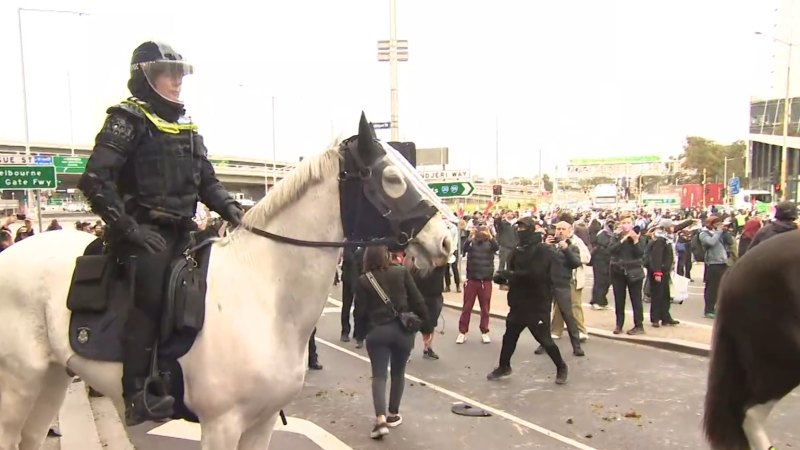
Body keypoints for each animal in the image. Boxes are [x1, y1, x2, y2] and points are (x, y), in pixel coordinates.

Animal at [0, 121, 454, 448]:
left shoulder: (262, 422)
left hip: (52, 377)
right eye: (391, 178)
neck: (265, 294)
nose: (448, 240)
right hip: (17, 385)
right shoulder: (221, 424)